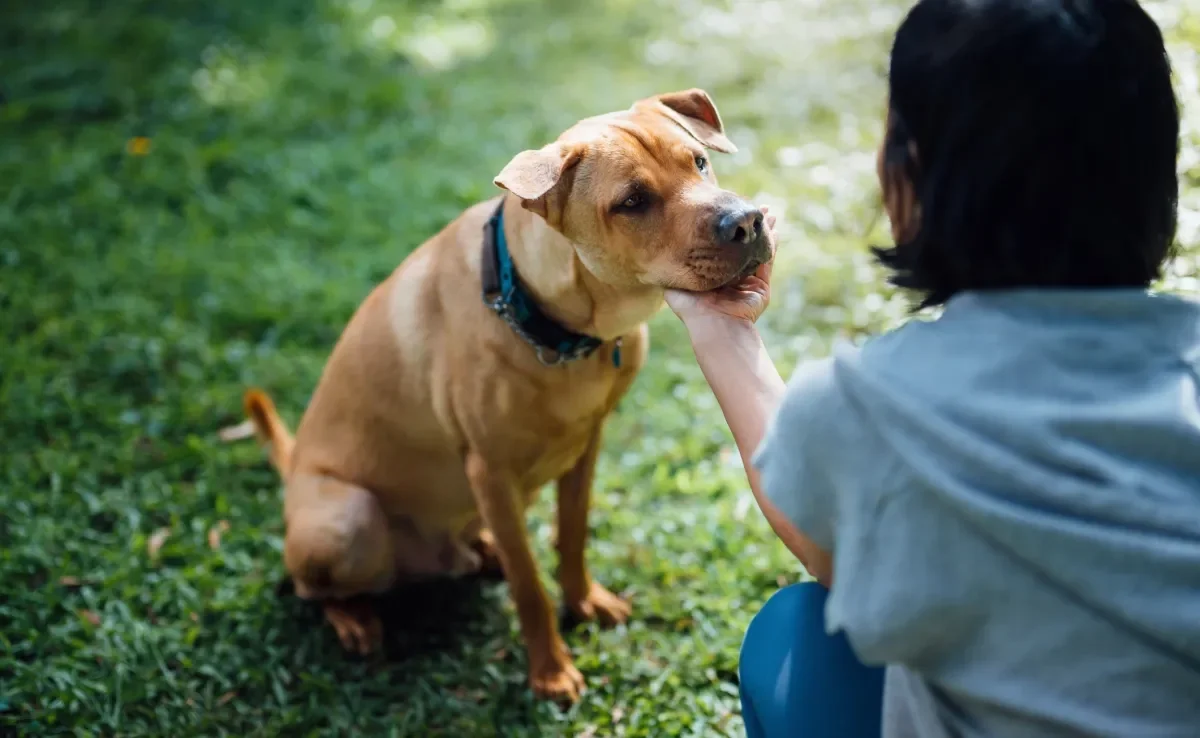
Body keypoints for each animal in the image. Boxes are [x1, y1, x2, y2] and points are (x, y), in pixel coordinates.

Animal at [244, 89, 772, 700]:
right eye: (633, 202)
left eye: (700, 162)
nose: (748, 222)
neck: (556, 325)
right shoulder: (489, 470)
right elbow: (528, 585)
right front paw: (550, 669)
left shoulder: (586, 445)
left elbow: (571, 535)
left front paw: (583, 601)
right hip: (347, 520)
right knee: (312, 588)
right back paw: (354, 617)